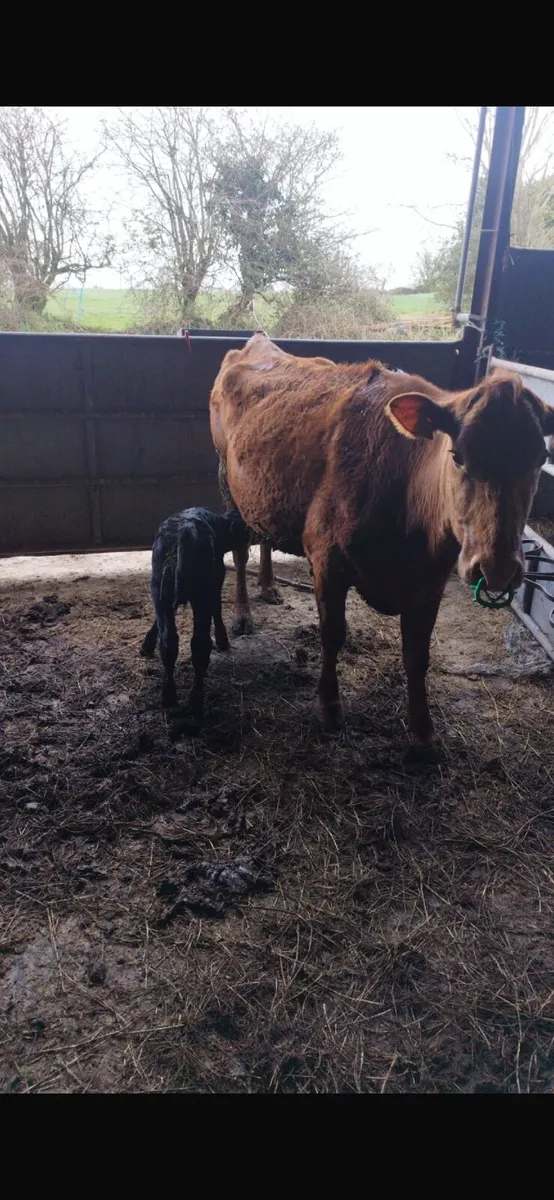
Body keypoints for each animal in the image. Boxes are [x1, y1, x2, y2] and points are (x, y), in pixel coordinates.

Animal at [209, 333, 554, 755]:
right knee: (241, 551)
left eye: (541, 458)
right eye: (457, 456)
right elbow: (333, 634)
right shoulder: (327, 559)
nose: (497, 569)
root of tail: (257, 342)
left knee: (264, 537)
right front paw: (329, 708)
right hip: (227, 481)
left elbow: (418, 654)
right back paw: (243, 613)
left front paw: (423, 731)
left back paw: (270, 586)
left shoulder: (431, 580)